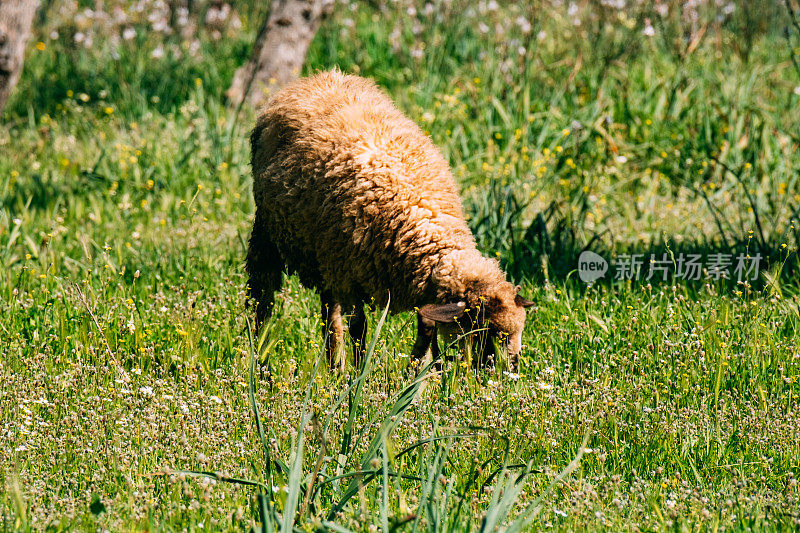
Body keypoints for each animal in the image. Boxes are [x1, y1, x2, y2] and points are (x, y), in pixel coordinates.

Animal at [244, 69, 532, 370]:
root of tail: (318, 77)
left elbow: (426, 328)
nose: (509, 371)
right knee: (263, 298)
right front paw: (360, 373)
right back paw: (261, 359)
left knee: (328, 312)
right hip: (270, 232)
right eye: (483, 331)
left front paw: (419, 369)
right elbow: (359, 328)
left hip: (325, 256)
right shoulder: (350, 276)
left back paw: (334, 366)